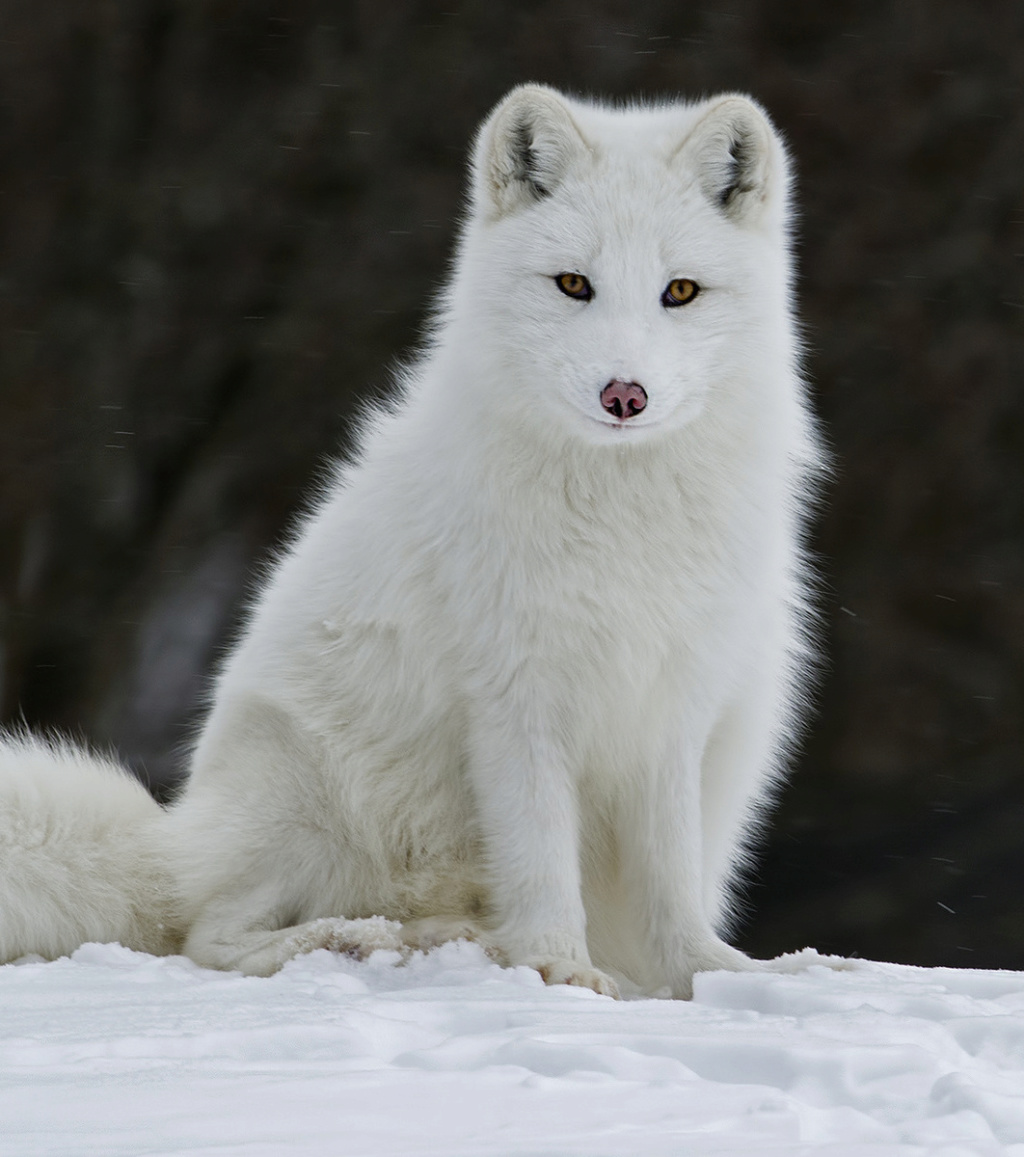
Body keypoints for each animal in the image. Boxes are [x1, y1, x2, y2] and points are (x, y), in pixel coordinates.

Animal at [0, 85, 823, 999]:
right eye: (574, 284)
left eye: (680, 291)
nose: (624, 395)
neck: (622, 512)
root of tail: (174, 833)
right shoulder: (518, 700)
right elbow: (541, 857)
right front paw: (562, 970)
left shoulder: (671, 705)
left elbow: (671, 881)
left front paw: (710, 973)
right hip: (306, 788)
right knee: (205, 934)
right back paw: (366, 939)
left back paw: (446, 935)